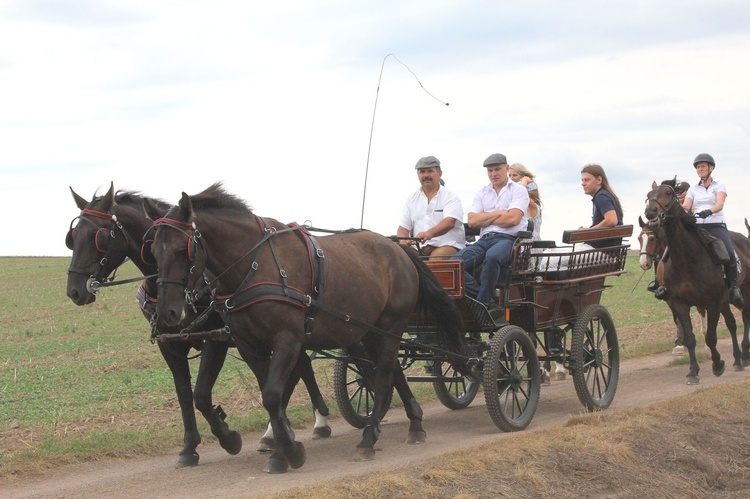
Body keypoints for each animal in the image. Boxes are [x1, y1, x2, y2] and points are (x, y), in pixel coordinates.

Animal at [67, 184, 332, 468]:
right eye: (72, 237)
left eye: (98, 237)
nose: (74, 291)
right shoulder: (169, 345)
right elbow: (184, 394)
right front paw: (189, 447)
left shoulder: (213, 340)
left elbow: (202, 395)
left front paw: (228, 437)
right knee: (300, 367)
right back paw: (282, 432)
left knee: (297, 370)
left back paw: (315, 424)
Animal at [144, 186, 476, 474]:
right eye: (153, 252)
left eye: (182, 249)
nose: (169, 312)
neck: (254, 266)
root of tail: (399, 249)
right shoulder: (251, 346)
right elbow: (271, 397)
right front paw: (281, 448)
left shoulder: (288, 340)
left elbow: (274, 395)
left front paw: (287, 452)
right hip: (369, 331)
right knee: (389, 371)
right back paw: (413, 424)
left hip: (389, 327)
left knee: (382, 379)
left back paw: (368, 439)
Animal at [648, 182, 750, 384]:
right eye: (648, 195)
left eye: (668, 193)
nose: (650, 212)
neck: (687, 259)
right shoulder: (680, 303)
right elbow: (690, 338)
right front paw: (693, 372)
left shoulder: (711, 303)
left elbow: (710, 337)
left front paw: (717, 365)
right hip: (725, 300)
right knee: (733, 324)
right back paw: (737, 360)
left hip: (744, 291)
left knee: (746, 317)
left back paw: (744, 355)